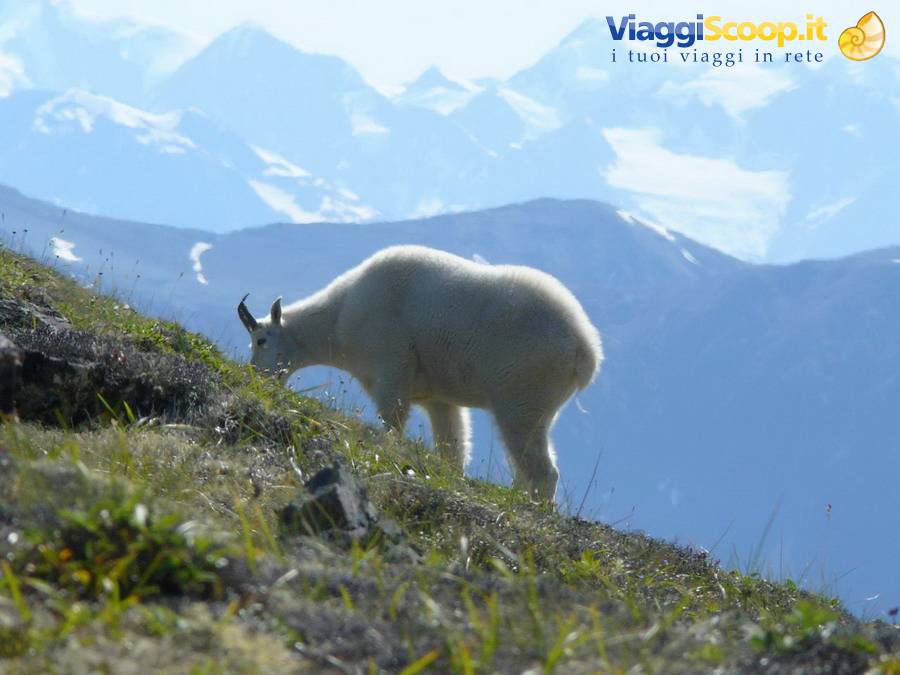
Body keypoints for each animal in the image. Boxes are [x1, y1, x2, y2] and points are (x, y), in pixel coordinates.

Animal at [238, 245, 602, 500]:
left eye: (261, 339)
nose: (256, 378)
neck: (341, 317)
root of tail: (585, 349)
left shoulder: (391, 366)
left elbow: (393, 422)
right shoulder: (437, 398)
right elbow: (453, 448)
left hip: (521, 398)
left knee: (541, 470)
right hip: (541, 406)